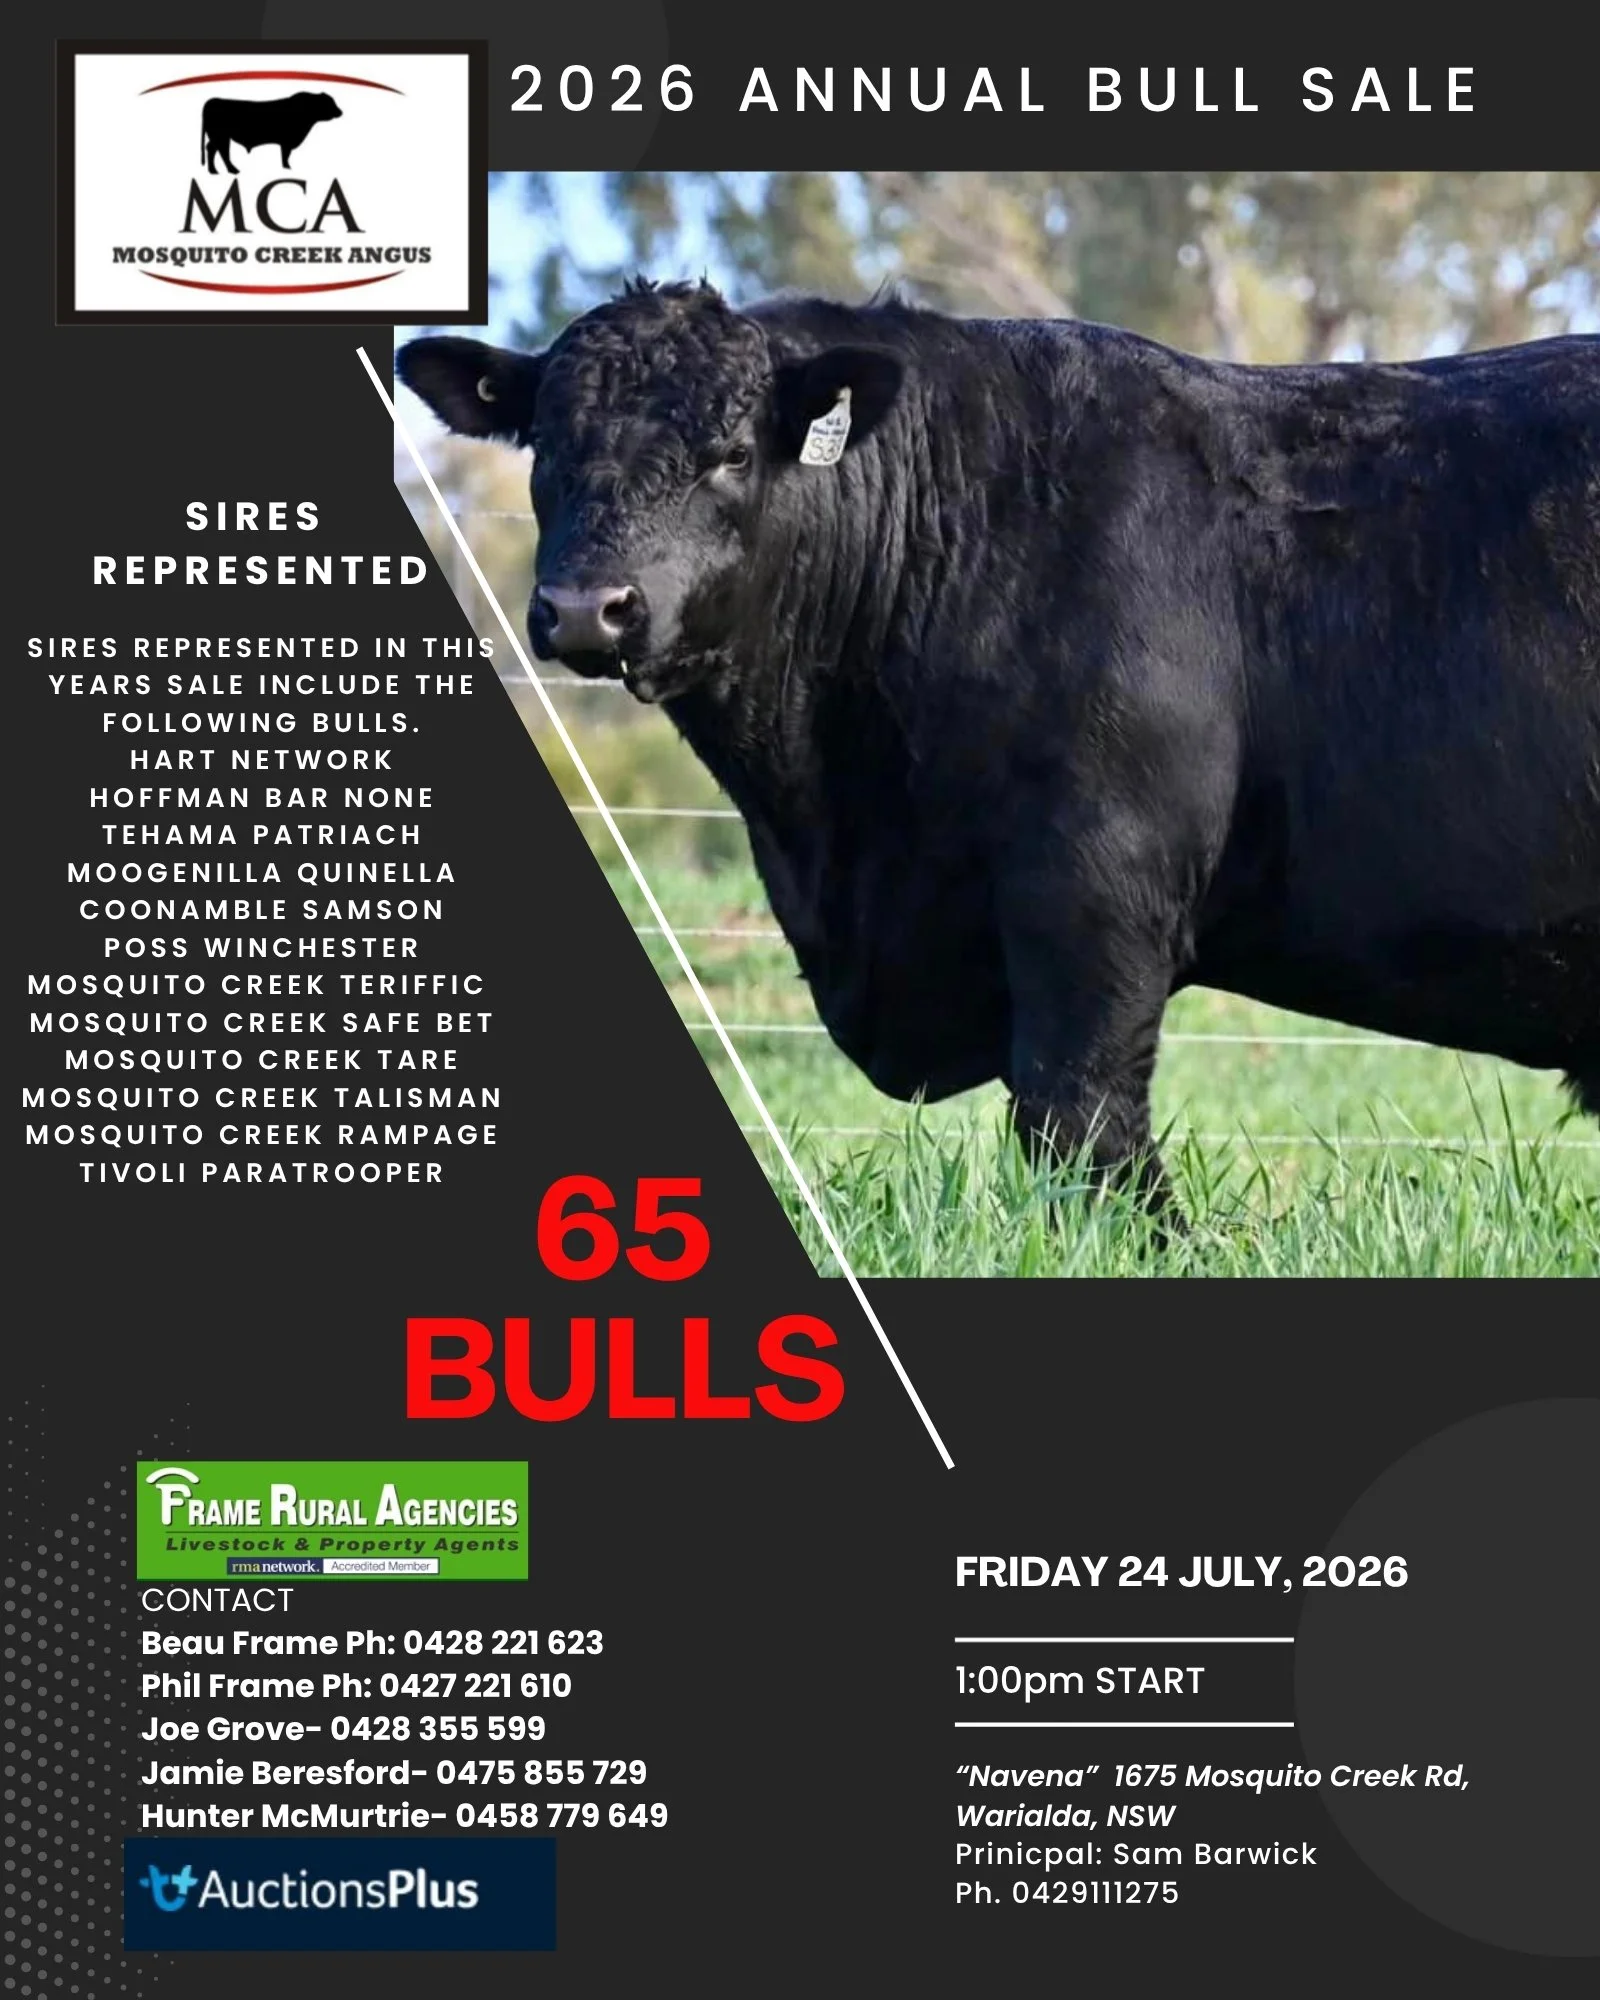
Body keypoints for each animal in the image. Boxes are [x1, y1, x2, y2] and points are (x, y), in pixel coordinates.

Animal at [201, 91, 341, 174]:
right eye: (329, 103)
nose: (340, 112)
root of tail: (212, 101)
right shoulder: (286, 141)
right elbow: (285, 155)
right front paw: (287, 167)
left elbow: (285, 155)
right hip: (220, 136)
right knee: (223, 151)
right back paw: (232, 170)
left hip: (217, 136)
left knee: (212, 149)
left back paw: (213, 171)